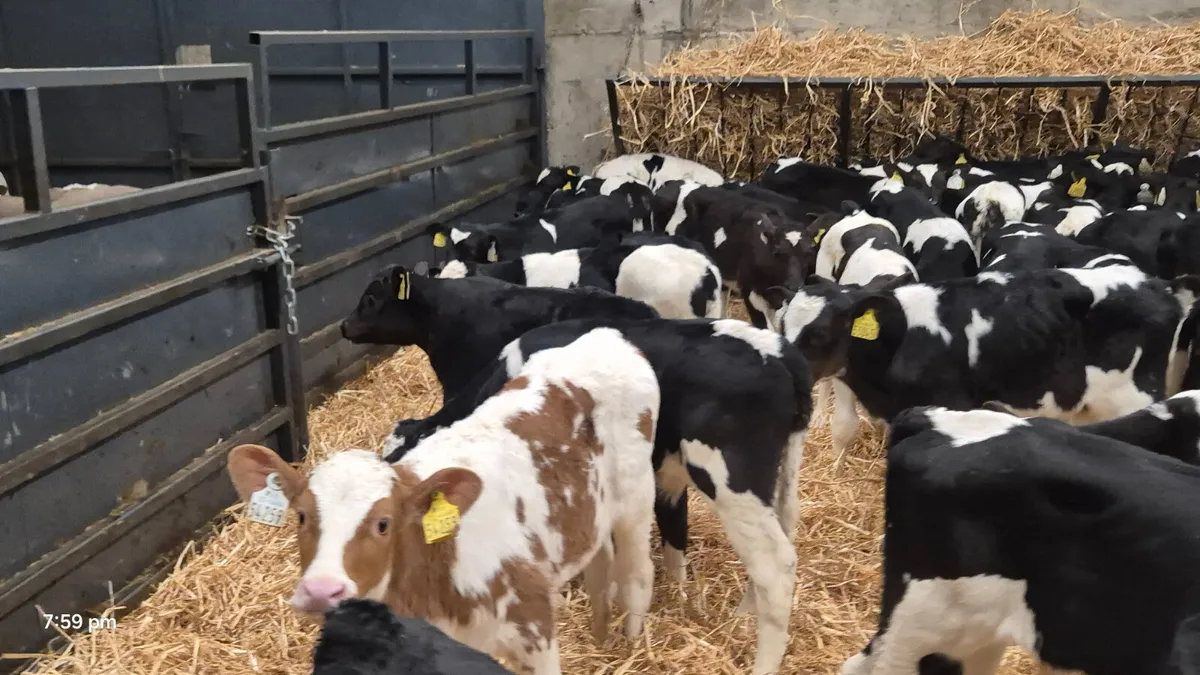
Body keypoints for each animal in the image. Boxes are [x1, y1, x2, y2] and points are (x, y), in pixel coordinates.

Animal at [228, 328, 662, 675]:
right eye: (301, 516)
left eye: (383, 523)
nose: (322, 590)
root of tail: (605, 336)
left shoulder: (534, 626)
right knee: (600, 563)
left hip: (637, 499)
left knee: (638, 573)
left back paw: (630, 644)